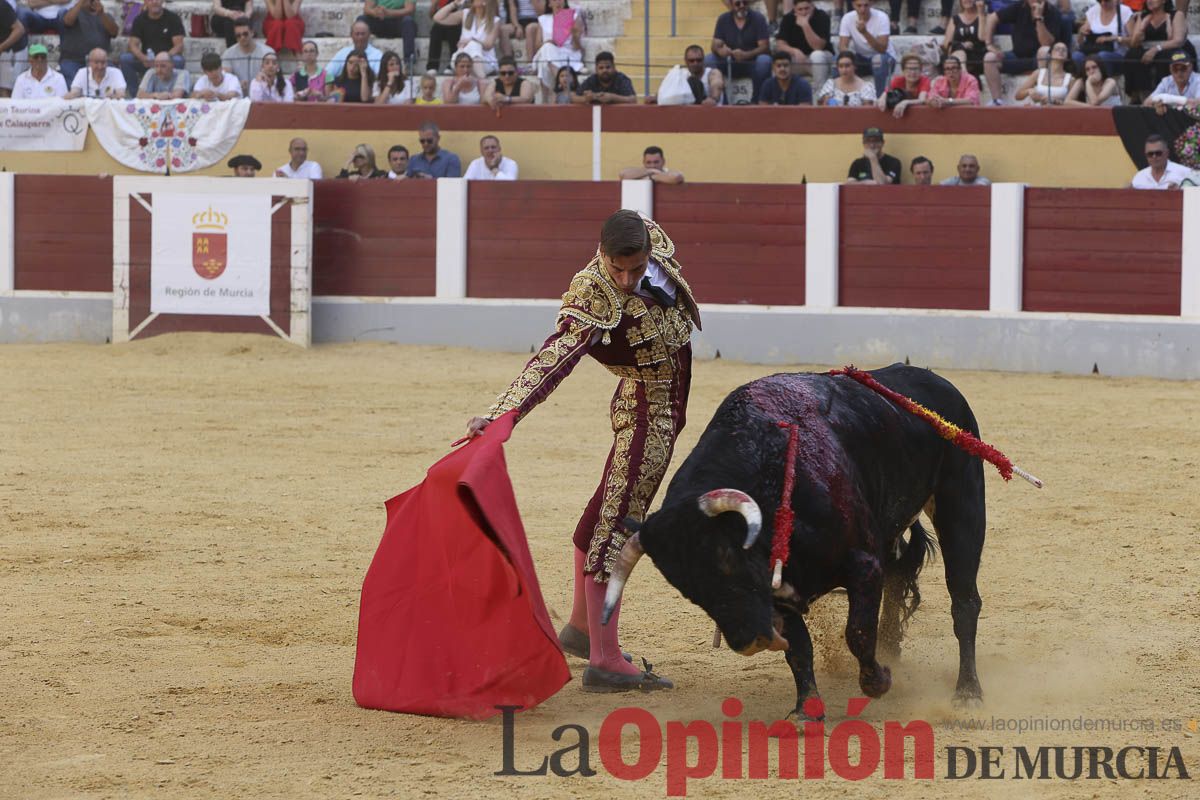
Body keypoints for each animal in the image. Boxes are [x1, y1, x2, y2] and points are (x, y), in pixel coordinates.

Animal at [600, 367, 984, 714]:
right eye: (685, 587)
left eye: (726, 557)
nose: (750, 641)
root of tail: (937, 381)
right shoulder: (781, 594)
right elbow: (799, 649)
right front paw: (805, 710)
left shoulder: (863, 564)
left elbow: (857, 632)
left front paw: (878, 682)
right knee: (899, 576)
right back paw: (893, 651)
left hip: (962, 506)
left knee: (964, 602)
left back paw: (967, 692)